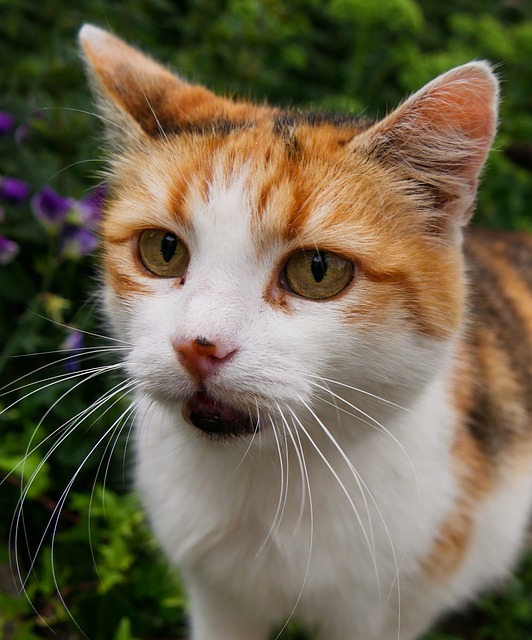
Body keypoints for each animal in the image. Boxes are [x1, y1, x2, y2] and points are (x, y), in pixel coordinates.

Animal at [78, 23, 532, 640]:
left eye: (317, 271)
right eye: (163, 250)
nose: (198, 346)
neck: (263, 484)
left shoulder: (381, 605)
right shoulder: (215, 596)